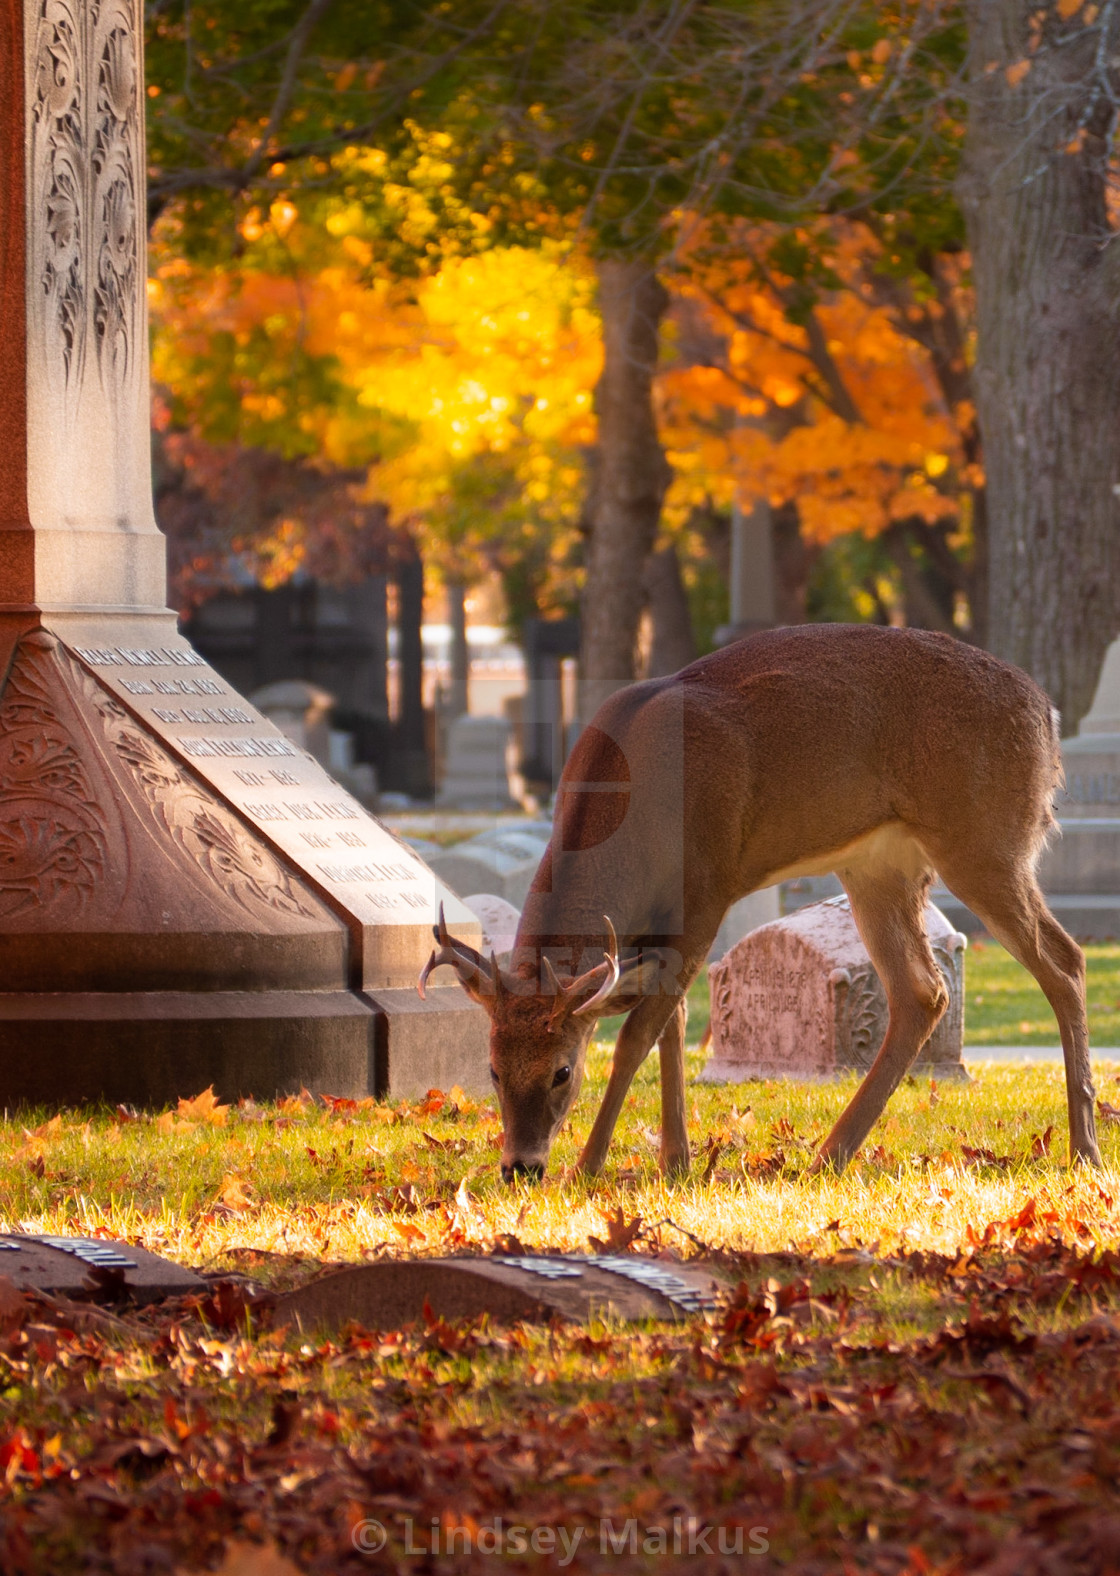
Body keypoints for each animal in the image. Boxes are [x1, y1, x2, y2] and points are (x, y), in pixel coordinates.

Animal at [422, 627, 1102, 1185]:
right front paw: (676, 1162)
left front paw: (589, 1166)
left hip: (986, 839)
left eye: (562, 1071)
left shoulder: (708, 887)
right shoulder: (656, 927)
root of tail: (1048, 714)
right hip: (880, 865)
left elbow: (637, 1034)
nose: (520, 1167)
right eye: (491, 1068)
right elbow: (671, 1023)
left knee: (1064, 961)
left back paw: (1084, 1150)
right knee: (923, 990)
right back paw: (830, 1155)